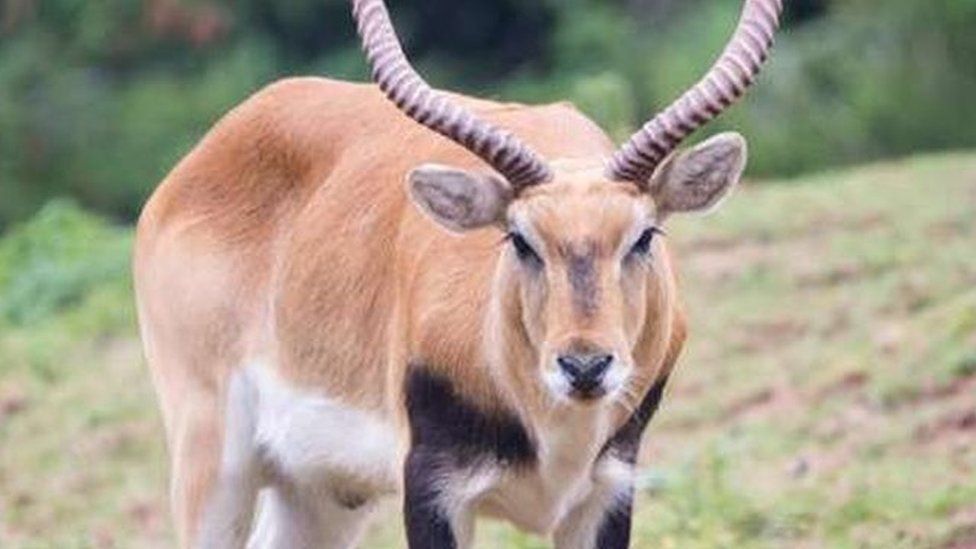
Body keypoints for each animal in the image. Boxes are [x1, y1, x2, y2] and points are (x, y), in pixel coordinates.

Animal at [133, 1, 780, 544]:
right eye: (519, 239)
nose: (585, 366)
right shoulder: (432, 488)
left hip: (323, 492)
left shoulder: (607, 491)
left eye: (644, 236)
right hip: (214, 465)